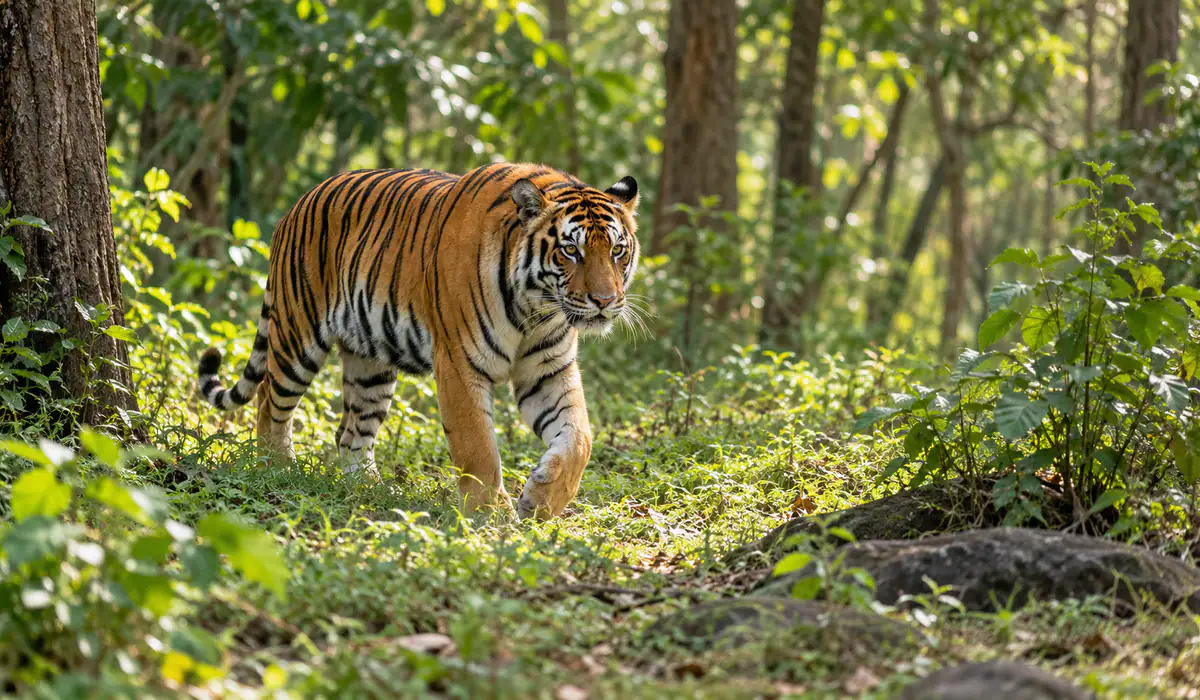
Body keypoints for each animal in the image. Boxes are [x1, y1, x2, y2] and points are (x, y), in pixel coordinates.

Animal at [196, 163, 640, 520]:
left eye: (617, 251)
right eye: (571, 251)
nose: (605, 301)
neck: (536, 307)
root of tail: (297, 205)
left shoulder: (548, 370)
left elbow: (579, 437)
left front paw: (542, 500)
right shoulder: (459, 363)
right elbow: (477, 447)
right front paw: (491, 515)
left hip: (370, 366)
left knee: (350, 434)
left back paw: (370, 488)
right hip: (296, 336)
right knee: (269, 401)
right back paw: (276, 468)